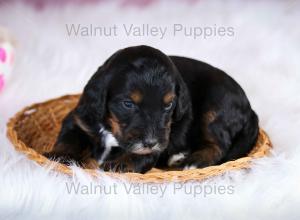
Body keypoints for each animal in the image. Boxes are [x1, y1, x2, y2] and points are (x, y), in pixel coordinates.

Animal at [45, 45, 258, 174]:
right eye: (128, 104)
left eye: (169, 104)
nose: (150, 142)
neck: (111, 128)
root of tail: (249, 108)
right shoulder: (80, 119)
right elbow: (69, 139)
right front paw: (60, 156)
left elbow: (138, 156)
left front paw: (118, 165)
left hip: (215, 108)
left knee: (218, 145)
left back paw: (191, 162)